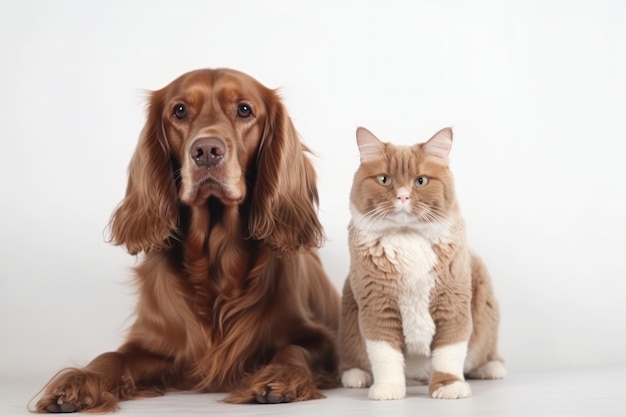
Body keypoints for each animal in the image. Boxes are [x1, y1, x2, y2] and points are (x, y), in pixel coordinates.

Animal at [336, 127, 502, 400]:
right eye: (384, 180)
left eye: (421, 181)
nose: (403, 196)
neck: (408, 237)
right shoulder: (378, 305)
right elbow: (385, 354)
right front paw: (388, 388)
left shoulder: (452, 302)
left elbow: (448, 353)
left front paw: (448, 386)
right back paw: (356, 375)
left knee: (482, 354)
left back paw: (491, 368)